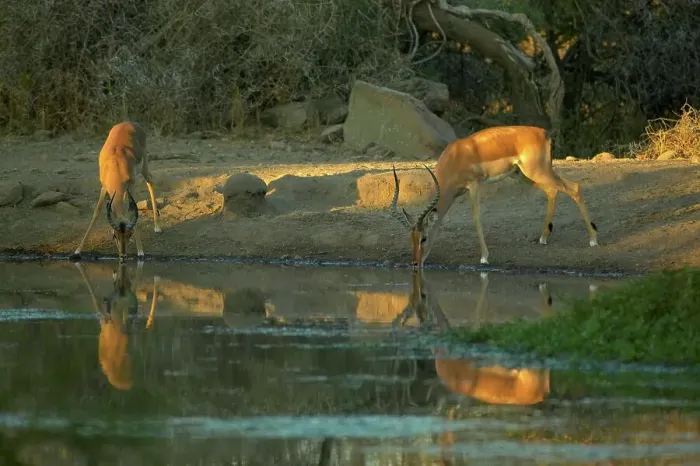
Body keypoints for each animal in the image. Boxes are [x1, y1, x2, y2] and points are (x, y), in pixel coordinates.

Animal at [73, 121, 161, 262]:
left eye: (129, 234)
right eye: (115, 235)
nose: (123, 255)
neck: (116, 167)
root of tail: (130, 122)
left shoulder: (131, 186)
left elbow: (132, 210)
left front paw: (140, 252)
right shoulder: (104, 188)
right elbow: (97, 212)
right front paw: (77, 251)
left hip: (144, 167)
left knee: (150, 181)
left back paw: (157, 227)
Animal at [391, 126, 599, 268]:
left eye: (424, 238)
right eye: (410, 238)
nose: (415, 263)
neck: (455, 157)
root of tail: (543, 133)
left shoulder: (474, 186)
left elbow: (476, 218)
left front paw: (484, 257)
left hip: (538, 172)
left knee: (574, 187)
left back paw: (593, 240)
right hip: (523, 175)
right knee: (552, 191)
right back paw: (543, 238)